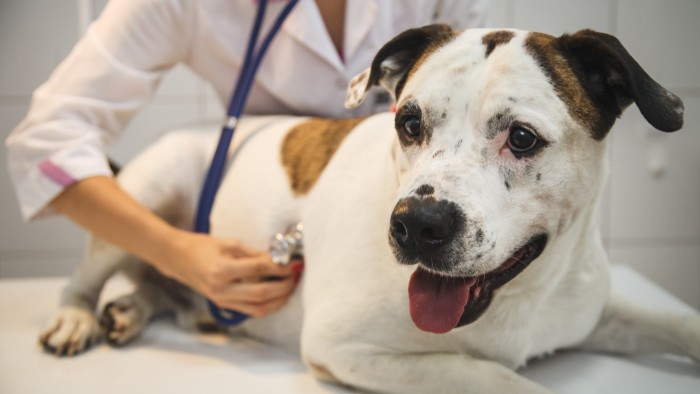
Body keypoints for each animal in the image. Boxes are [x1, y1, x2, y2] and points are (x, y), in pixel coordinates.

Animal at [39, 26, 700, 392]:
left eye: (521, 138)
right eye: (409, 123)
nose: (417, 225)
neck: (521, 296)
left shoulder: (589, 308)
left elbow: (677, 321)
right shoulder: (346, 348)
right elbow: (490, 375)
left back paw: (132, 308)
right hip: (150, 189)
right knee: (88, 272)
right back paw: (77, 317)